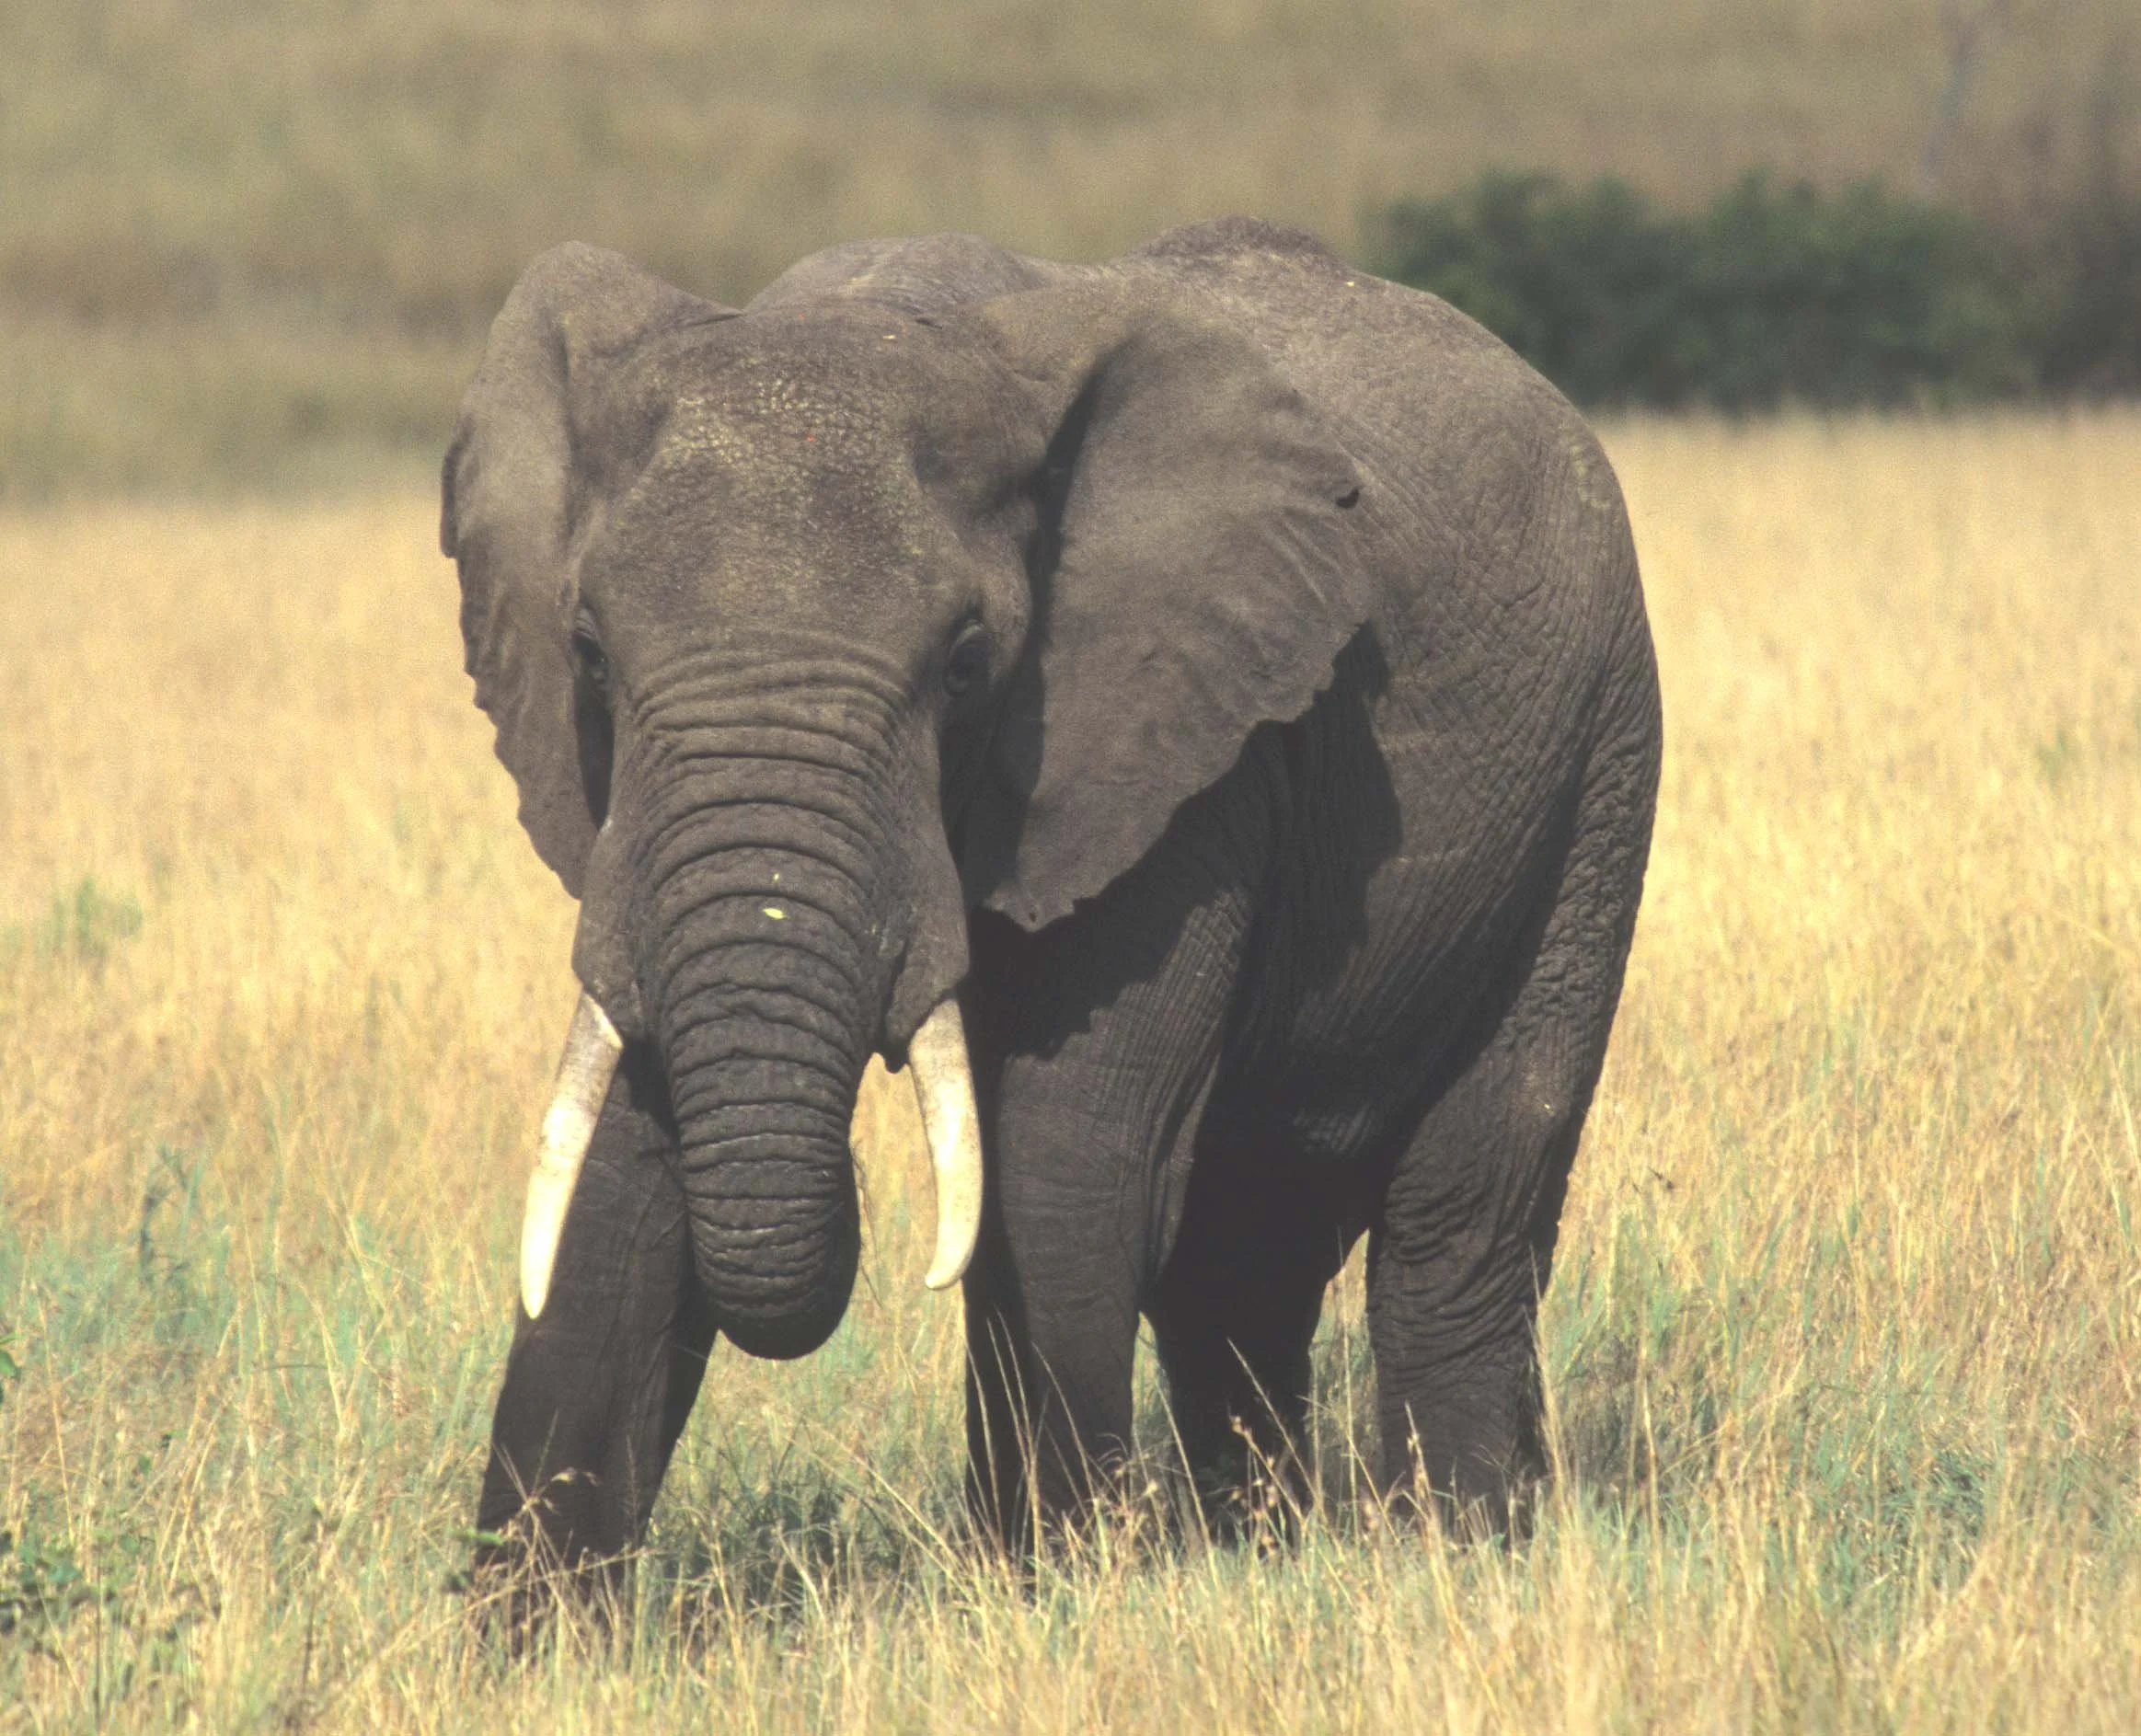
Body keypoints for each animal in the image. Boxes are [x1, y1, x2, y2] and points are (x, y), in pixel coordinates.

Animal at [440, 217, 1660, 1593]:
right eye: (588, 651)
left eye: (967, 663)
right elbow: (618, 1183)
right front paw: (529, 1626)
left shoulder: (1187, 756)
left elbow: (1063, 1163)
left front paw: (1046, 1595)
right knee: (1241, 1257)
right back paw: (1266, 1549)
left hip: (1599, 764)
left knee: (1463, 1209)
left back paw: (1463, 1554)